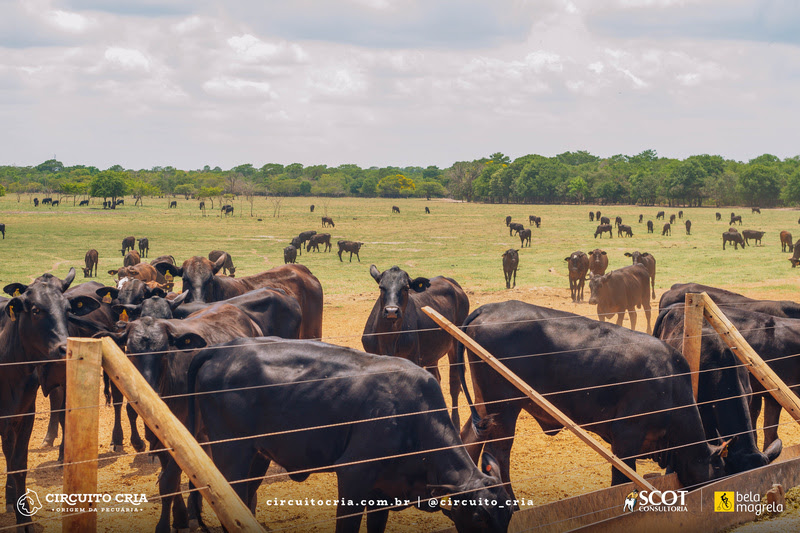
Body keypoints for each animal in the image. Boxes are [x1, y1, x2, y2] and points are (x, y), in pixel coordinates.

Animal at [0, 270, 98, 528]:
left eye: (68, 309)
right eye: (35, 310)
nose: (64, 349)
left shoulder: (25, 415)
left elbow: (18, 465)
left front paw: (24, 518)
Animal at [189, 336, 512, 532]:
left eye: (509, 513)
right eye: (479, 517)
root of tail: (226, 347)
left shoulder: (383, 490)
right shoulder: (353, 475)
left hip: (257, 456)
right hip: (232, 453)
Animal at [362, 266, 468, 428]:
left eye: (405, 287)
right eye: (381, 287)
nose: (391, 311)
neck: (388, 339)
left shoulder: (413, 359)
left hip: (456, 344)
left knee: (454, 383)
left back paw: (455, 423)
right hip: (432, 352)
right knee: (436, 378)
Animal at [456, 304, 732, 498]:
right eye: (720, 468)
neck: (672, 384)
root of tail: (489, 308)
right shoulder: (626, 435)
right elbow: (622, 478)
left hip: (484, 406)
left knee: (470, 441)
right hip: (504, 408)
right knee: (498, 454)